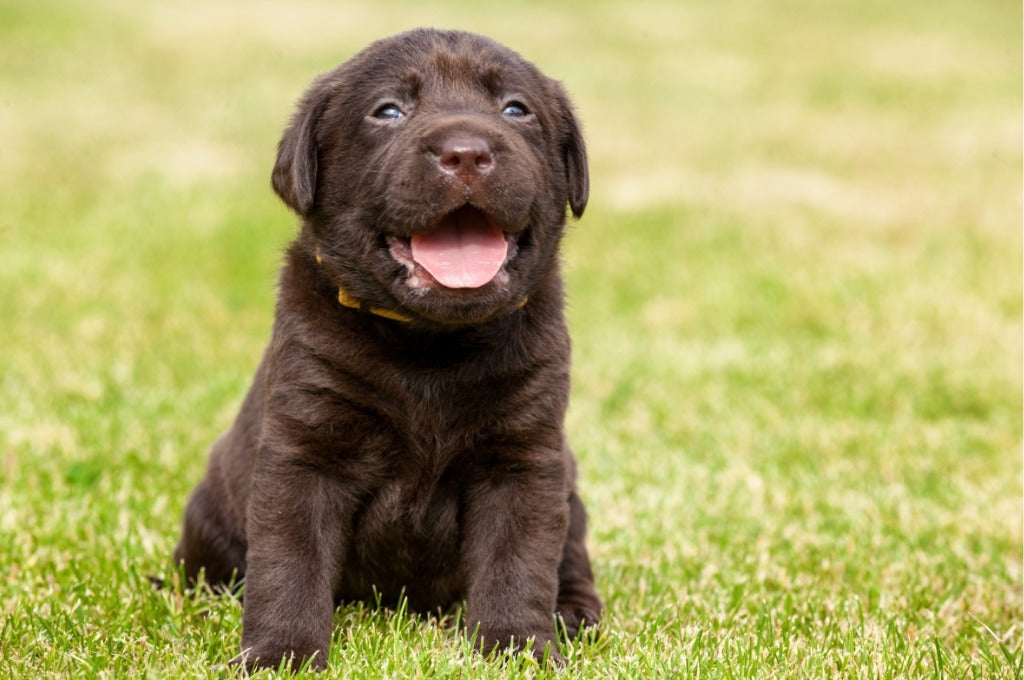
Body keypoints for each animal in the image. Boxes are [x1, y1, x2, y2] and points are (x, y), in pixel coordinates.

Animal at [168, 27, 598, 667]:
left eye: (516, 110)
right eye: (389, 111)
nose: (466, 153)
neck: (430, 345)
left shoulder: (523, 459)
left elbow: (518, 563)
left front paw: (517, 648)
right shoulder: (306, 450)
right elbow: (289, 564)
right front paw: (281, 655)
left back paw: (572, 614)